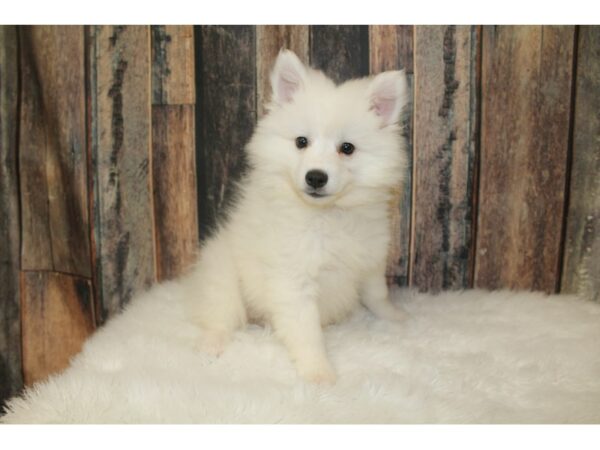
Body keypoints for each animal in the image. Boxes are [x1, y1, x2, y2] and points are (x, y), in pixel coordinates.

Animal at [180, 50, 410, 384]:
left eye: (347, 148)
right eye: (301, 142)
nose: (315, 177)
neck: (327, 216)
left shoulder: (369, 261)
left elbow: (377, 294)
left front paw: (395, 317)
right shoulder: (293, 280)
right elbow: (307, 332)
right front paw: (318, 372)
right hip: (223, 276)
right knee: (220, 315)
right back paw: (212, 344)